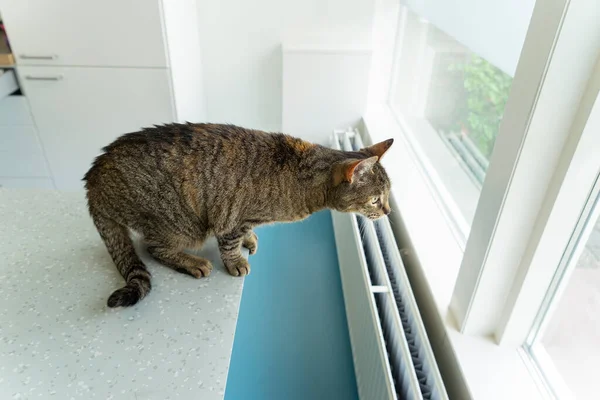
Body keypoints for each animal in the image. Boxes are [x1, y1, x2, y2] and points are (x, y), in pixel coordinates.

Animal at [84, 123, 394, 308]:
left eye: (387, 196)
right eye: (376, 200)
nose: (389, 211)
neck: (304, 178)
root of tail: (93, 177)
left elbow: (243, 235)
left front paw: (249, 240)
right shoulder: (231, 216)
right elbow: (229, 243)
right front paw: (235, 261)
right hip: (182, 225)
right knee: (153, 247)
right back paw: (191, 261)